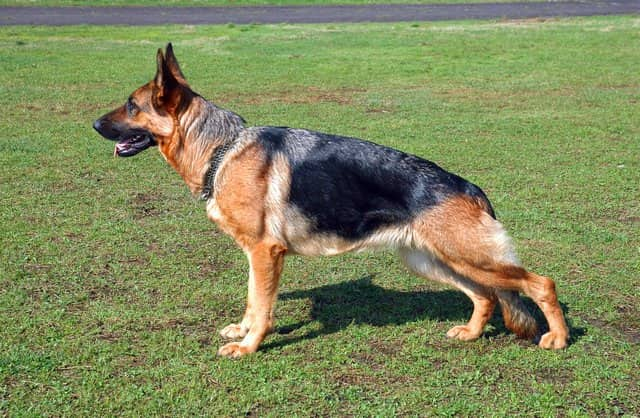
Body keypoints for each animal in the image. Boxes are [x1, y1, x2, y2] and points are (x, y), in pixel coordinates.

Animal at [92, 42, 568, 358]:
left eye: (131, 106)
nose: (94, 125)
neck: (220, 149)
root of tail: (468, 186)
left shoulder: (266, 252)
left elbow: (262, 307)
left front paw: (249, 346)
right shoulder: (254, 256)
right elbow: (251, 298)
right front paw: (242, 331)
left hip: (467, 256)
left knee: (541, 283)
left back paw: (559, 338)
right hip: (433, 260)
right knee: (485, 296)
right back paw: (470, 334)